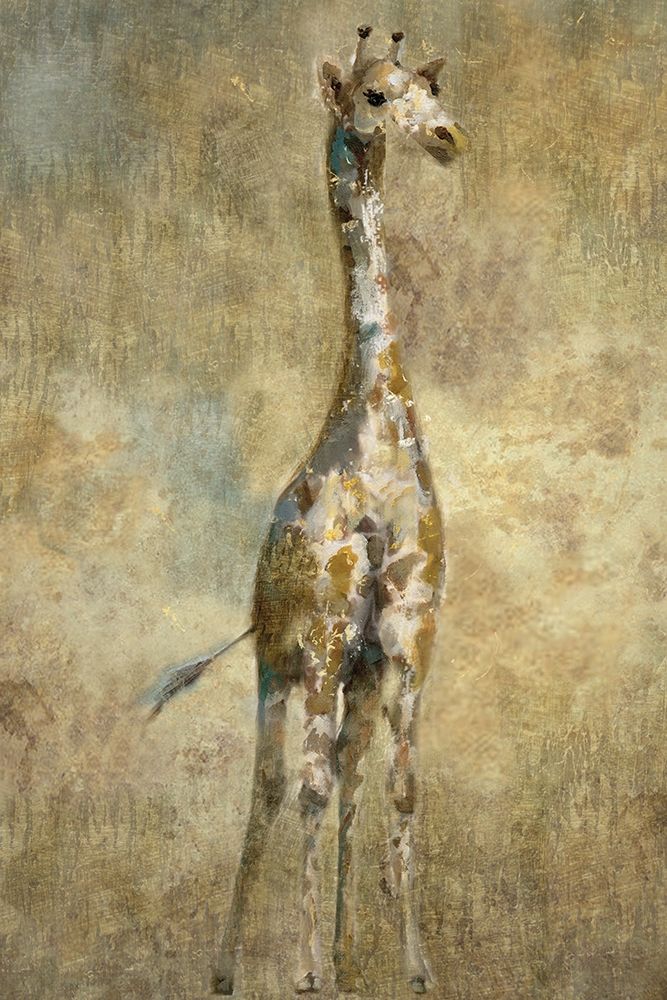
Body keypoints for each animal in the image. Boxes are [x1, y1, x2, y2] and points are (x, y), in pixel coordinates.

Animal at [146, 23, 468, 997]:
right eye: (374, 96)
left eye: (429, 91)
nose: (449, 138)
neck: (372, 431)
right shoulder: (324, 636)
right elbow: (310, 793)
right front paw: (303, 970)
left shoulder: (405, 632)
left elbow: (395, 790)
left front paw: (408, 965)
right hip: (278, 668)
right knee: (271, 791)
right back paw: (230, 967)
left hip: (353, 672)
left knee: (344, 783)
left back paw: (344, 950)